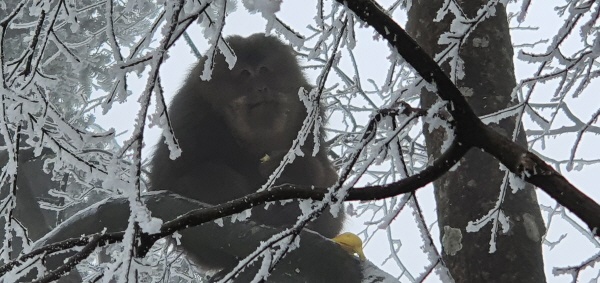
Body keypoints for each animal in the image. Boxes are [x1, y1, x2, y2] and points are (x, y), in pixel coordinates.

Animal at [149, 34, 360, 282]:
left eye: (264, 70)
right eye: (244, 74)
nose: (262, 88)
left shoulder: (310, 113)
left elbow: (326, 180)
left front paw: (291, 168)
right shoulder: (188, 115)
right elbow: (168, 182)